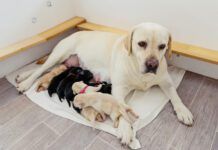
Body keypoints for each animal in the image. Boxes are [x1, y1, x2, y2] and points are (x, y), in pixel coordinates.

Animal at [17, 22, 194, 149]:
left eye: (162, 46)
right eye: (141, 43)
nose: (152, 64)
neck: (137, 67)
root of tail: (75, 32)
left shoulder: (166, 81)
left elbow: (175, 96)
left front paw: (183, 111)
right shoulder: (119, 89)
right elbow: (122, 109)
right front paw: (126, 131)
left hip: (63, 63)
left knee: (45, 70)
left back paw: (23, 76)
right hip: (59, 54)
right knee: (40, 69)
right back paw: (24, 81)